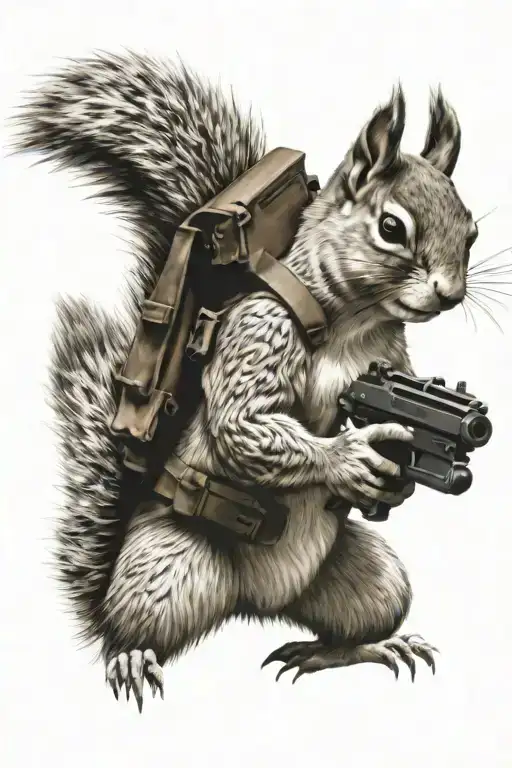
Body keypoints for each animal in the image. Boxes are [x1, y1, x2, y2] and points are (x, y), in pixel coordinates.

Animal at [13, 51, 478, 711]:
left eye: (472, 231)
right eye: (391, 227)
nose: (451, 292)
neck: (354, 324)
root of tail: (258, 605)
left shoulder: (392, 353)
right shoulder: (259, 328)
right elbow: (243, 422)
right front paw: (350, 457)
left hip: (372, 579)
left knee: (351, 622)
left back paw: (357, 648)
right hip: (168, 569)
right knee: (124, 626)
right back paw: (130, 656)